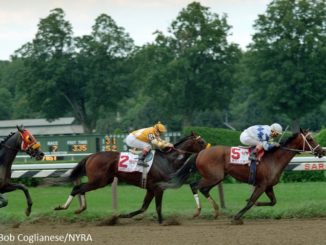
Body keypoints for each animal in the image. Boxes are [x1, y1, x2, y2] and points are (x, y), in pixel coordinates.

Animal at [53, 133, 208, 223]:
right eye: (201, 142)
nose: (209, 150)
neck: (168, 160)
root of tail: (91, 156)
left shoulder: (151, 189)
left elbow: (143, 207)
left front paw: (121, 216)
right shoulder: (159, 188)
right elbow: (157, 207)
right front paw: (161, 222)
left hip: (103, 180)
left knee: (81, 189)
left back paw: (80, 208)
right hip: (99, 181)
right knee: (77, 188)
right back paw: (64, 207)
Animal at [162, 129, 324, 225]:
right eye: (310, 139)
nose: (322, 151)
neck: (274, 158)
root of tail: (201, 152)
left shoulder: (268, 186)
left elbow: (272, 202)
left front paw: (255, 204)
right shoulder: (261, 185)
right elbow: (251, 202)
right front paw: (236, 217)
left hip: (217, 177)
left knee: (203, 189)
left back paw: (215, 211)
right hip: (213, 177)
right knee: (194, 185)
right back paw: (198, 211)